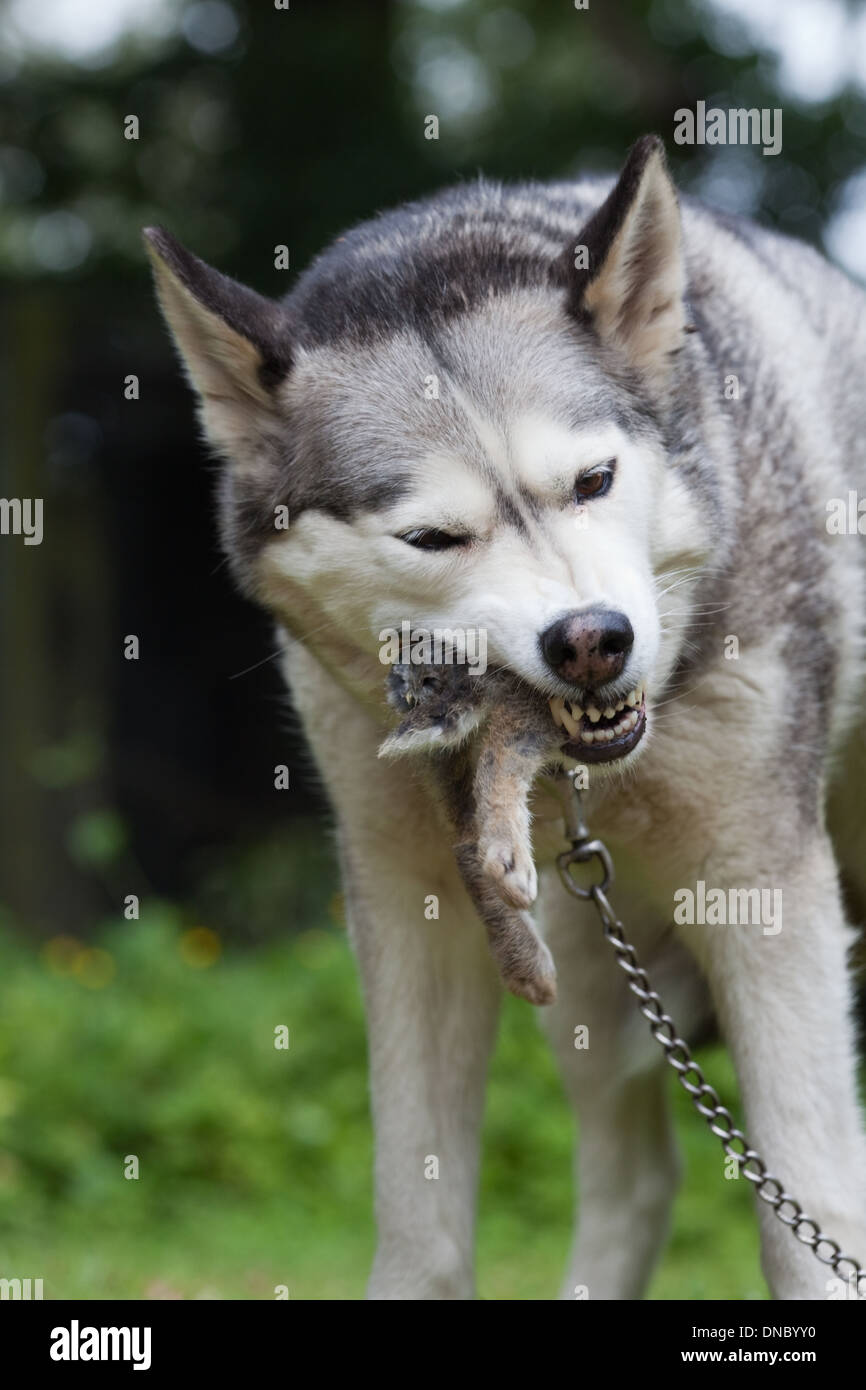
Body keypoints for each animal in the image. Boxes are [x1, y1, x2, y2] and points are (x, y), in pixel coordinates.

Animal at [147, 135, 866, 1295]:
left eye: (594, 480)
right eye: (433, 538)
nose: (593, 639)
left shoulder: (764, 895)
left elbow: (806, 1215)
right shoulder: (410, 904)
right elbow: (418, 1225)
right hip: (583, 969)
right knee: (635, 1178)